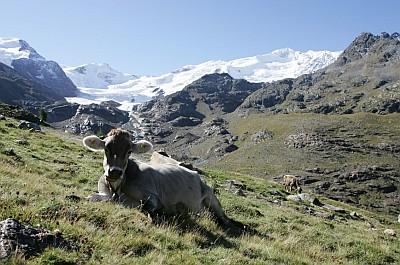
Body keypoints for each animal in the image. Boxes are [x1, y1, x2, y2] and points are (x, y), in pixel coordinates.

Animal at [82, 128, 244, 229]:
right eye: (106, 148)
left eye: (129, 151)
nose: (114, 172)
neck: (117, 187)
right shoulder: (104, 191)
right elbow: (95, 197)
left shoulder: (152, 196)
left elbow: (143, 206)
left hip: (212, 198)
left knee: (224, 219)